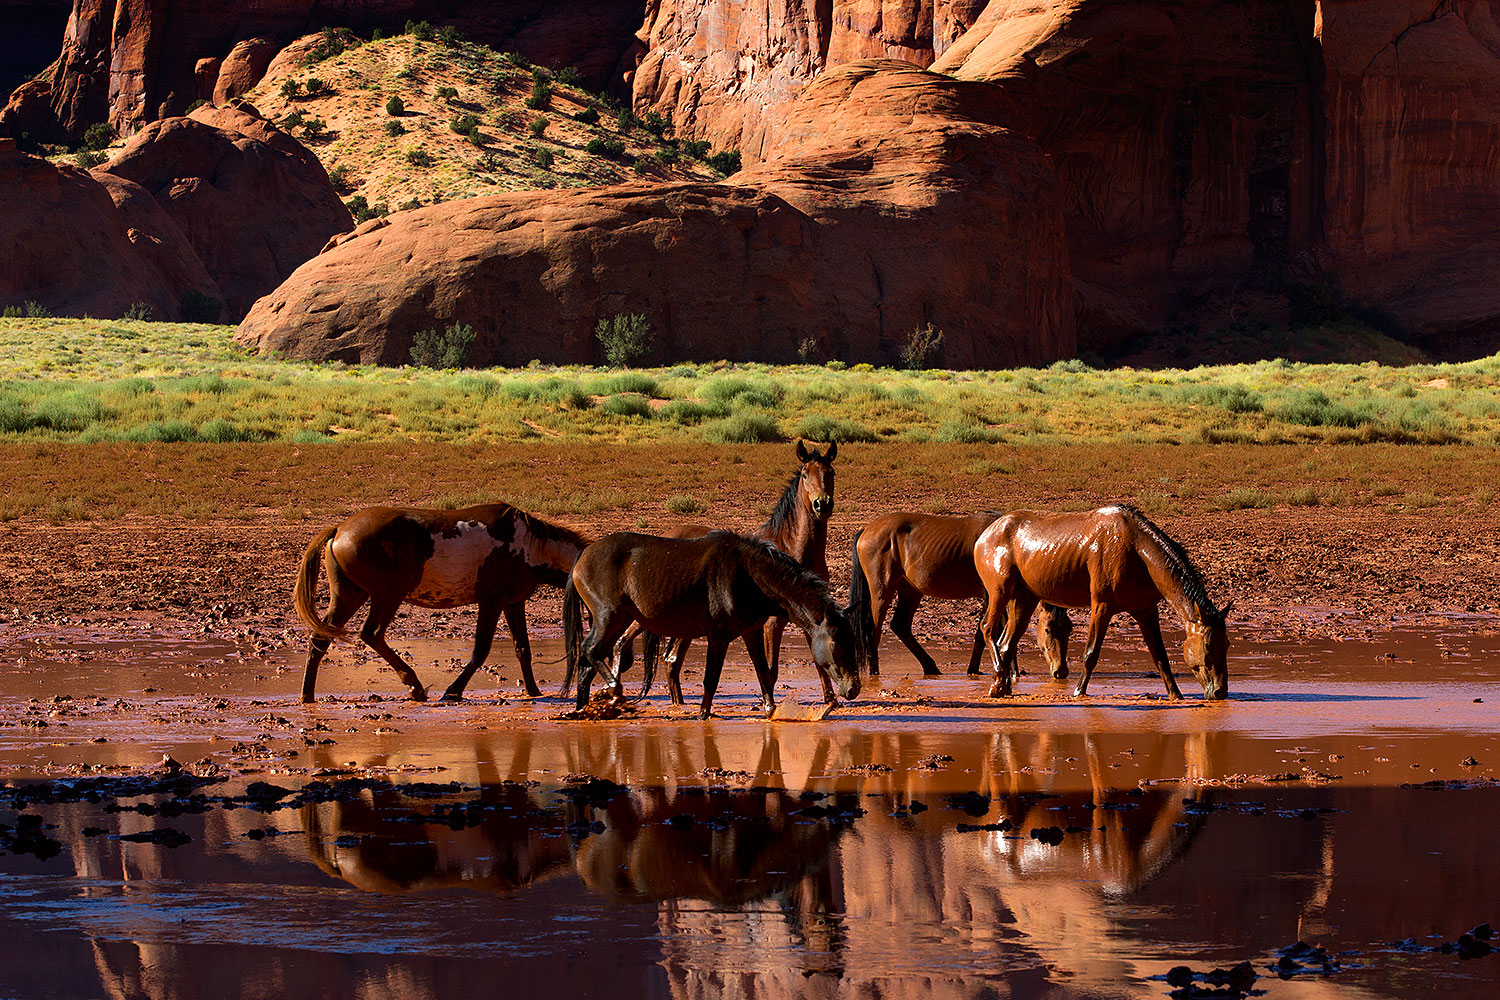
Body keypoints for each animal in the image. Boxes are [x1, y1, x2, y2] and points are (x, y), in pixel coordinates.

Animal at [293, 503, 588, 703]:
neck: (528, 544)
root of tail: (339, 530)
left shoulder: (513, 603)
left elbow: (522, 649)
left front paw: (534, 691)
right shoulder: (491, 602)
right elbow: (481, 651)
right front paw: (453, 691)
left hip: (350, 596)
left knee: (320, 640)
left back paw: (307, 695)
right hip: (387, 596)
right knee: (372, 634)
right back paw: (414, 685)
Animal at [562, 531, 861, 718]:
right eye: (836, 643)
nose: (854, 689)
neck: (747, 575)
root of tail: (583, 554)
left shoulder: (751, 633)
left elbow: (763, 673)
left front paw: (771, 710)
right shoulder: (718, 636)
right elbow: (711, 678)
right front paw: (704, 713)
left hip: (621, 619)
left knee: (587, 666)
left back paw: (582, 710)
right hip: (609, 617)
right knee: (590, 652)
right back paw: (614, 691)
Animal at [848, 511, 1073, 680]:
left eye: (1069, 629)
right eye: (1047, 629)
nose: (1061, 672)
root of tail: (867, 529)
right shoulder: (990, 595)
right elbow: (991, 631)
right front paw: (997, 669)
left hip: (910, 590)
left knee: (900, 625)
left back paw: (931, 667)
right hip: (882, 590)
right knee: (873, 630)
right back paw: (875, 673)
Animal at [973, 505, 1230, 700]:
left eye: (1226, 644)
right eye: (1208, 646)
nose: (1220, 692)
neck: (1135, 549)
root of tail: (985, 535)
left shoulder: (1146, 611)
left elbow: (1160, 657)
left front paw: (1175, 695)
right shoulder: (1102, 607)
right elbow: (1091, 653)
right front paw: (1079, 692)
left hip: (1024, 599)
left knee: (1006, 644)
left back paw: (1001, 687)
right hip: (1000, 592)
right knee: (988, 629)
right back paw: (998, 679)